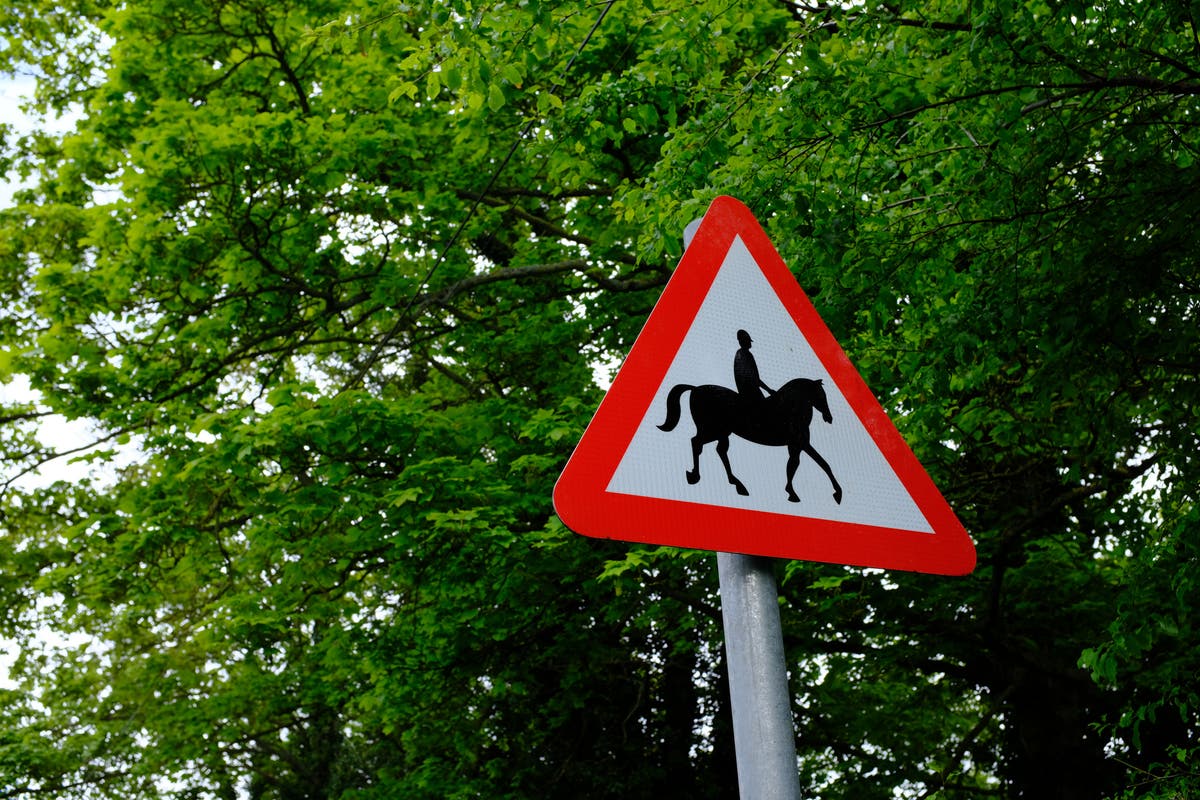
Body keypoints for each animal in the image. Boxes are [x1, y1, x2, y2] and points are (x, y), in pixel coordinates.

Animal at [657, 378, 843, 505]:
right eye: (820, 395)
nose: (829, 418)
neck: (790, 409)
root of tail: (695, 389)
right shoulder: (801, 444)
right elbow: (821, 464)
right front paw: (836, 493)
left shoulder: (796, 446)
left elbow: (798, 465)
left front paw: (792, 492)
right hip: (712, 430)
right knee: (696, 443)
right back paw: (695, 476)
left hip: (722, 432)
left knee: (719, 450)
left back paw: (738, 484)